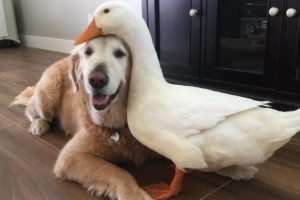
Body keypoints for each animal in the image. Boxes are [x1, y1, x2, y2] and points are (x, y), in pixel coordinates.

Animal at [11, 36, 157, 200]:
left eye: (120, 53)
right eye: (88, 52)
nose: (96, 80)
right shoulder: (70, 157)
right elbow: (118, 172)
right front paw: (134, 194)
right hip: (47, 96)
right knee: (31, 109)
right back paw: (39, 124)